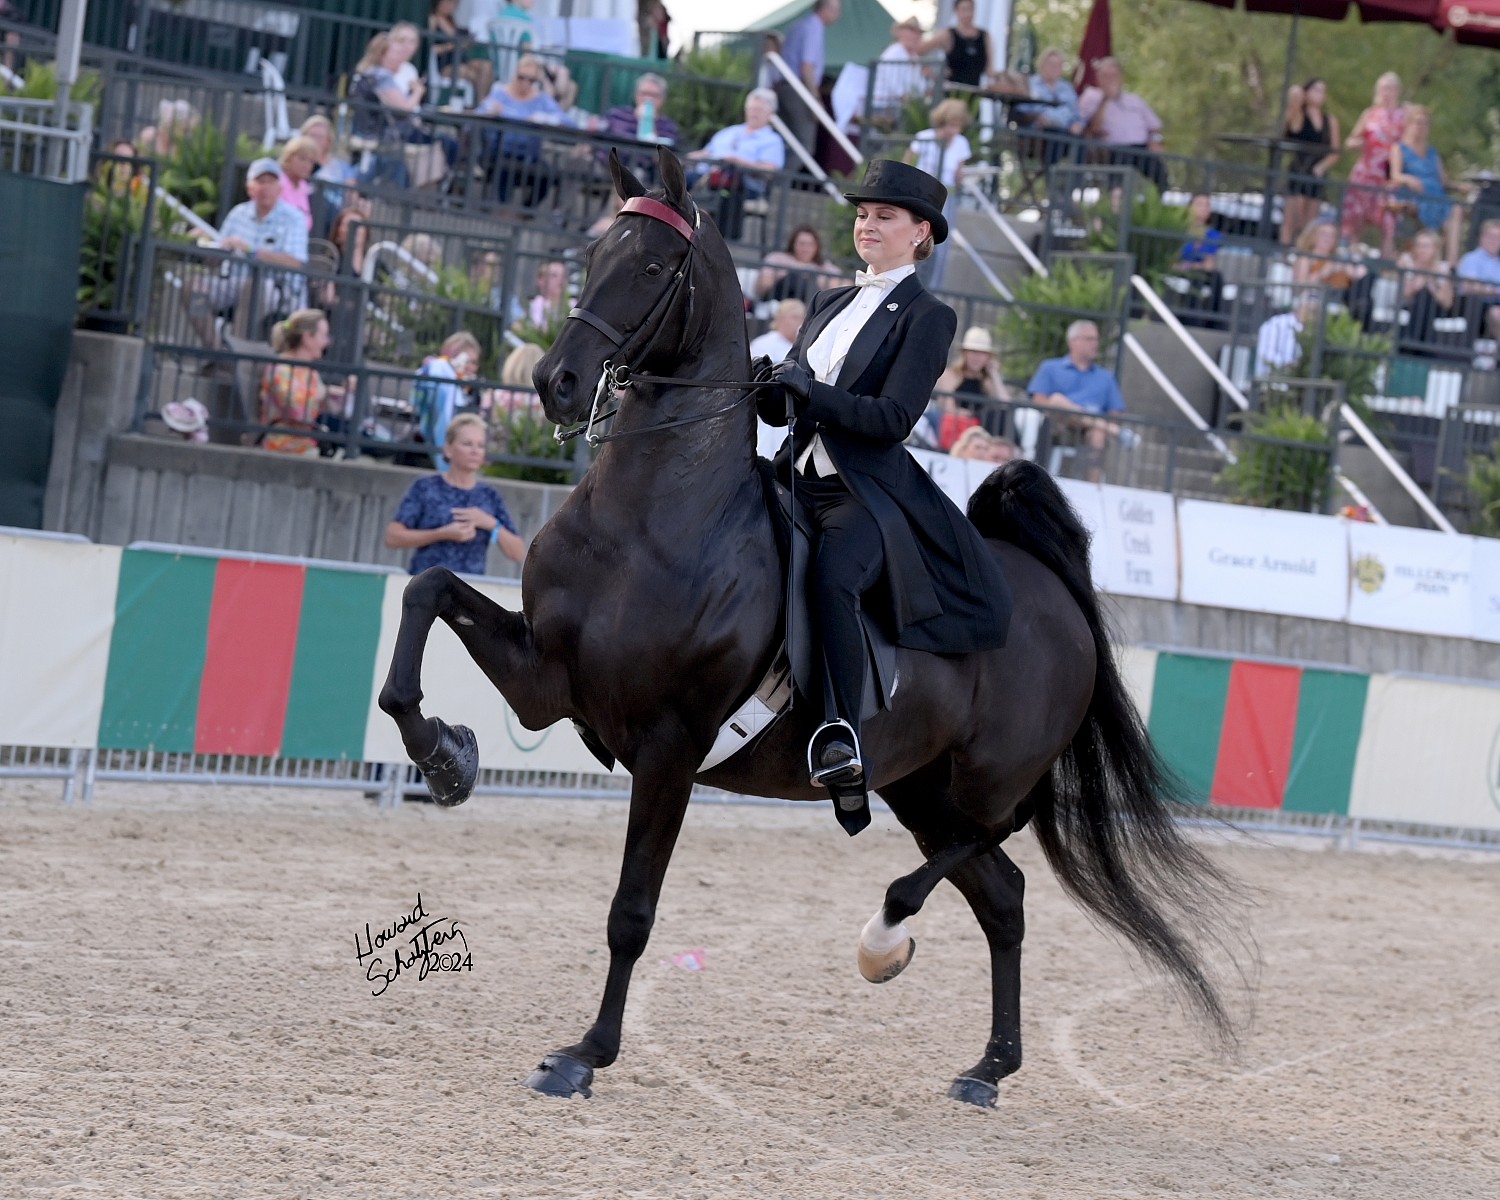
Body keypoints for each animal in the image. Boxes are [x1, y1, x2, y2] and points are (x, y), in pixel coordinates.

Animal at [378, 150, 1242, 1104]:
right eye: (595, 250)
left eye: (652, 266)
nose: (553, 382)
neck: (650, 518)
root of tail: (1053, 592)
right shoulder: (548, 681)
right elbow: (426, 595)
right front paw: (444, 755)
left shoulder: (671, 744)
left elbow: (632, 911)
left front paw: (584, 1054)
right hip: (918, 785)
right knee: (1005, 897)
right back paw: (988, 1068)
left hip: (983, 781)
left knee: (985, 847)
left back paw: (885, 940)